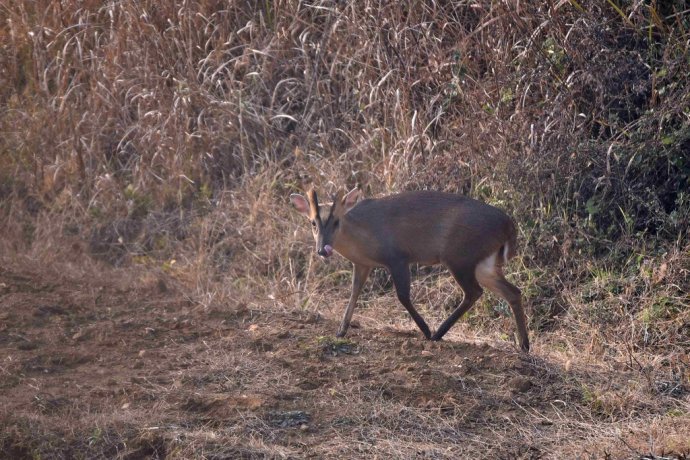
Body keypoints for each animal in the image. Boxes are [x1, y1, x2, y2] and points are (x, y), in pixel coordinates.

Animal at [288, 187, 528, 352]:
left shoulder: (398, 258)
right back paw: (524, 345)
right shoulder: (363, 263)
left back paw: (437, 334)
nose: (322, 249)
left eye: (336, 221)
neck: (362, 236)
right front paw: (341, 331)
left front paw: (425, 329)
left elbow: (402, 296)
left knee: (474, 292)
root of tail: (508, 226)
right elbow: (354, 294)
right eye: (313, 223)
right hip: (484, 264)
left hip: (459, 257)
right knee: (513, 292)